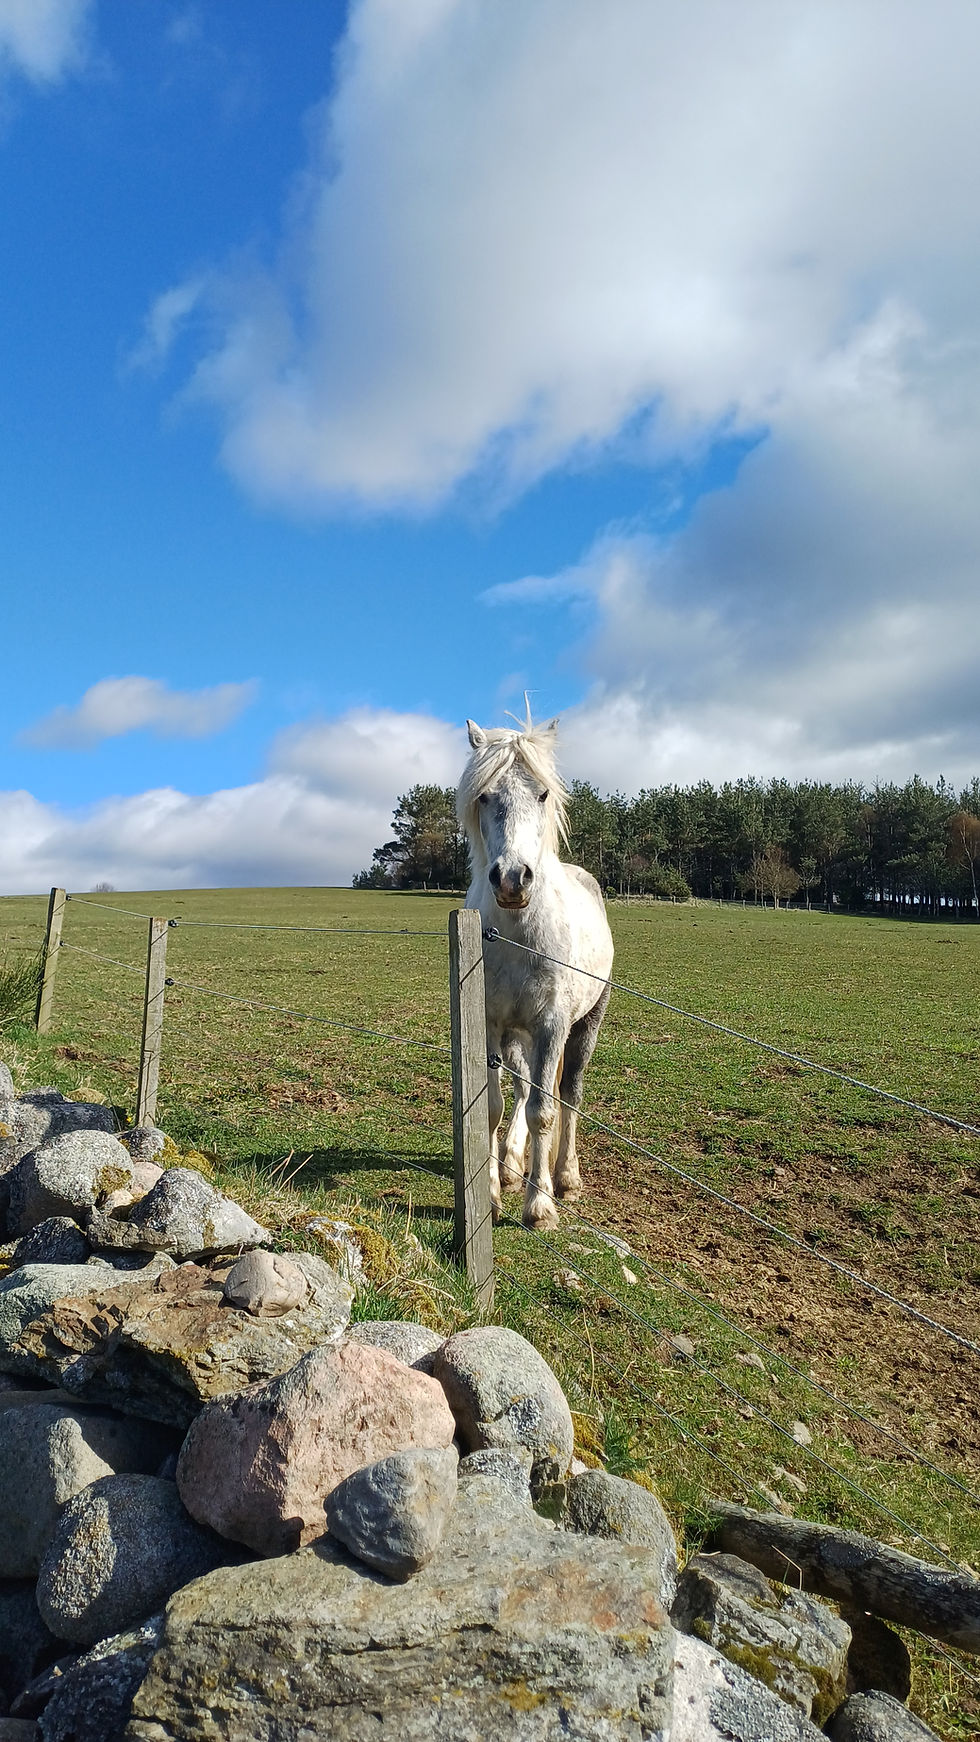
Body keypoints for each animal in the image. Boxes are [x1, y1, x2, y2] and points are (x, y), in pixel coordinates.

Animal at [456, 710, 614, 1230]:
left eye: (542, 794)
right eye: (485, 795)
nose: (512, 878)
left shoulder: (551, 1024)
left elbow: (546, 1111)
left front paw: (540, 1205)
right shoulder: (489, 1023)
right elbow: (491, 1106)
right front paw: (490, 1193)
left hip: (584, 1025)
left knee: (568, 1093)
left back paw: (565, 1177)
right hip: (517, 1036)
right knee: (523, 1090)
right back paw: (510, 1166)